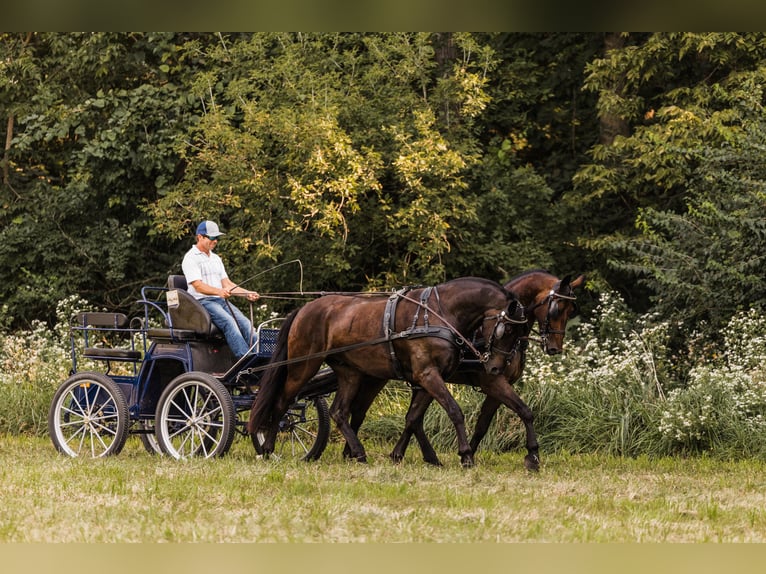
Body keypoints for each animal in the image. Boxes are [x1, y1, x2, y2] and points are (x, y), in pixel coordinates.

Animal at [247, 277, 526, 467]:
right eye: (508, 330)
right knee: (282, 402)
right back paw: (268, 448)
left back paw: (358, 452)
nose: (495, 367)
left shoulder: (429, 377)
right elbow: (454, 410)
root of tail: (303, 309)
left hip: (350, 373)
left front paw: (428, 457)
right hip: (303, 366)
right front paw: (466, 455)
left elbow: (414, 417)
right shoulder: (427, 374)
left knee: (339, 411)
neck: (440, 313)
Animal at [348, 270, 584, 471]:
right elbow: (524, 410)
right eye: (556, 308)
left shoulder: (496, 384)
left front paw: (472, 452)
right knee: (361, 411)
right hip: (378, 376)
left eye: (571, 310)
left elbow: (483, 424)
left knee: (410, 418)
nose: (554, 347)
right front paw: (532, 456)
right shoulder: (493, 381)